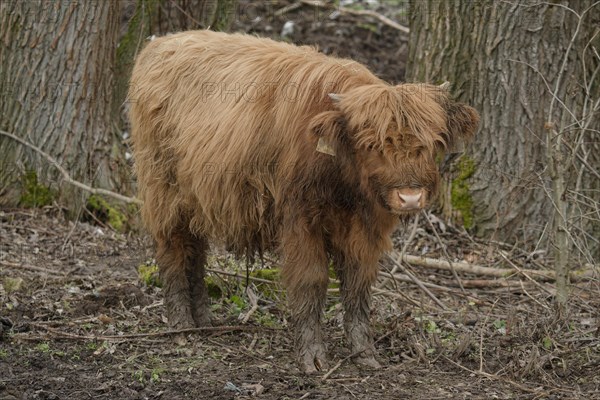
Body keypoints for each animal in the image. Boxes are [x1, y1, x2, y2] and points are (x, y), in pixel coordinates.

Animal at [129, 29, 480, 374]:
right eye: (371, 144)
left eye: (432, 143)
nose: (410, 197)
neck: (343, 179)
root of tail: (162, 43)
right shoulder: (301, 219)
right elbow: (312, 280)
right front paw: (313, 357)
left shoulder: (366, 227)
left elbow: (359, 283)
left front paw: (364, 352)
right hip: (163, 191)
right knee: (173, 248)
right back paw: (182, 326)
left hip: (198, 198)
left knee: (196, 250)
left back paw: (203, 318)